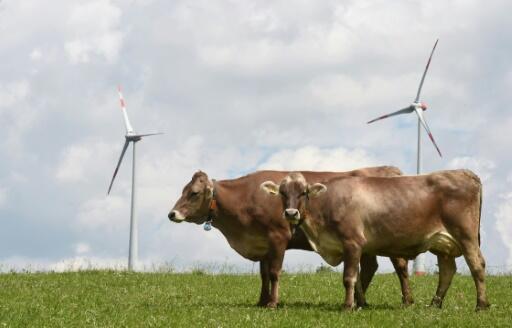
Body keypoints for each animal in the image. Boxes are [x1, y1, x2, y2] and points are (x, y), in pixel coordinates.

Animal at [168, 168, 412, 308]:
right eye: (183, 190)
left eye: (194, 193)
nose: (172, 214)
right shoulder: (263, 242)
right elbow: (264, 274)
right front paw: (261, 301)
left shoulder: (278, 237)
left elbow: (275, 273)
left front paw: (273, 303)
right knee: (369, 267)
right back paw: (362, 301)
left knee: (399, 266)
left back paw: (406, 300)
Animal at [262, 170, 490, 312]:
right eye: (282, 193)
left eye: (303, 192)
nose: (291, 213)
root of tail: (464, 172)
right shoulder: (352, 248)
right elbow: (358, 278)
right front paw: (359, 304)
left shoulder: (352, 242)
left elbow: (349, 278)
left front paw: (347, 307)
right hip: (443, 244)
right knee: (447, 271)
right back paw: (434, 304)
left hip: (466, 236)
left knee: (477, 265)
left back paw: (481, 305)